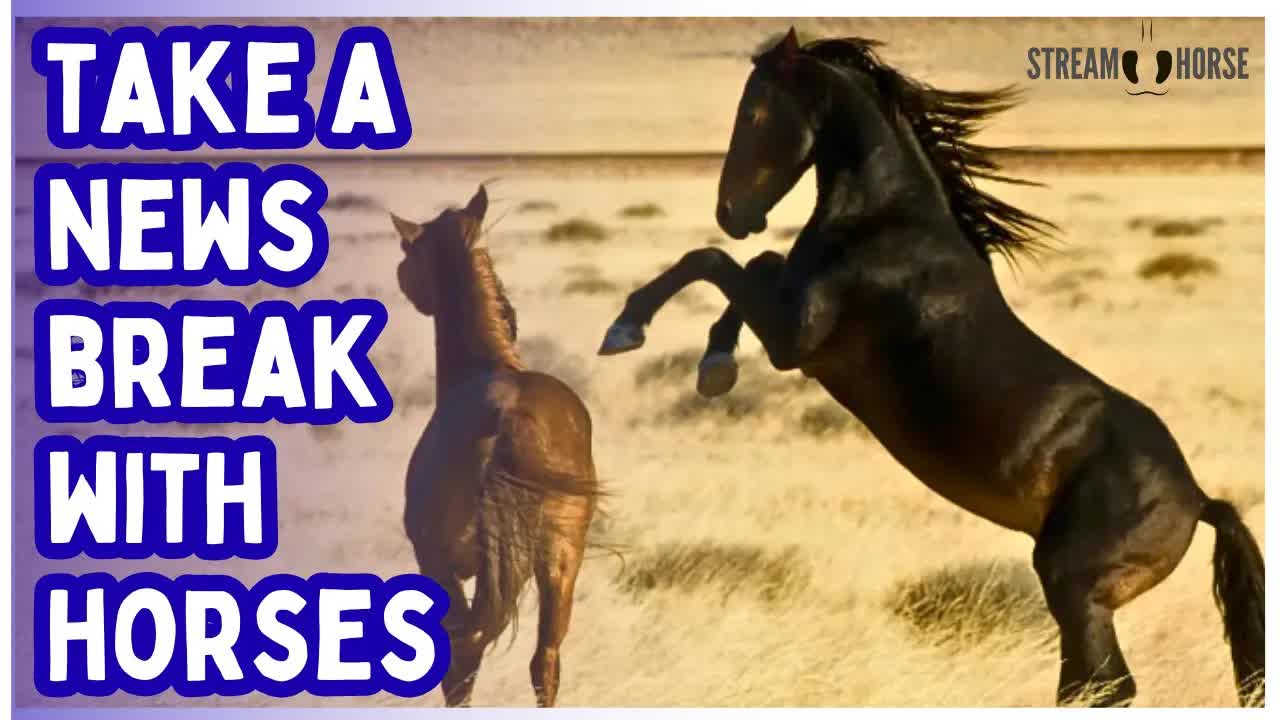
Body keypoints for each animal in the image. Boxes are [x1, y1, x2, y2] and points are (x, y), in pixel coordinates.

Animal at [598, 30, 1264, 707]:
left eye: (755, 112)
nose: (731, 212)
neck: (886, 220)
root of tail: (1198, 500)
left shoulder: (797, 341)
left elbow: (715, 262)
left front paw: (630, 331)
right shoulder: (791, 321)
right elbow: (752, 263)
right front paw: (714, 362)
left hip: (1074, 587)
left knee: (1105, 686)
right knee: (1089, 686)